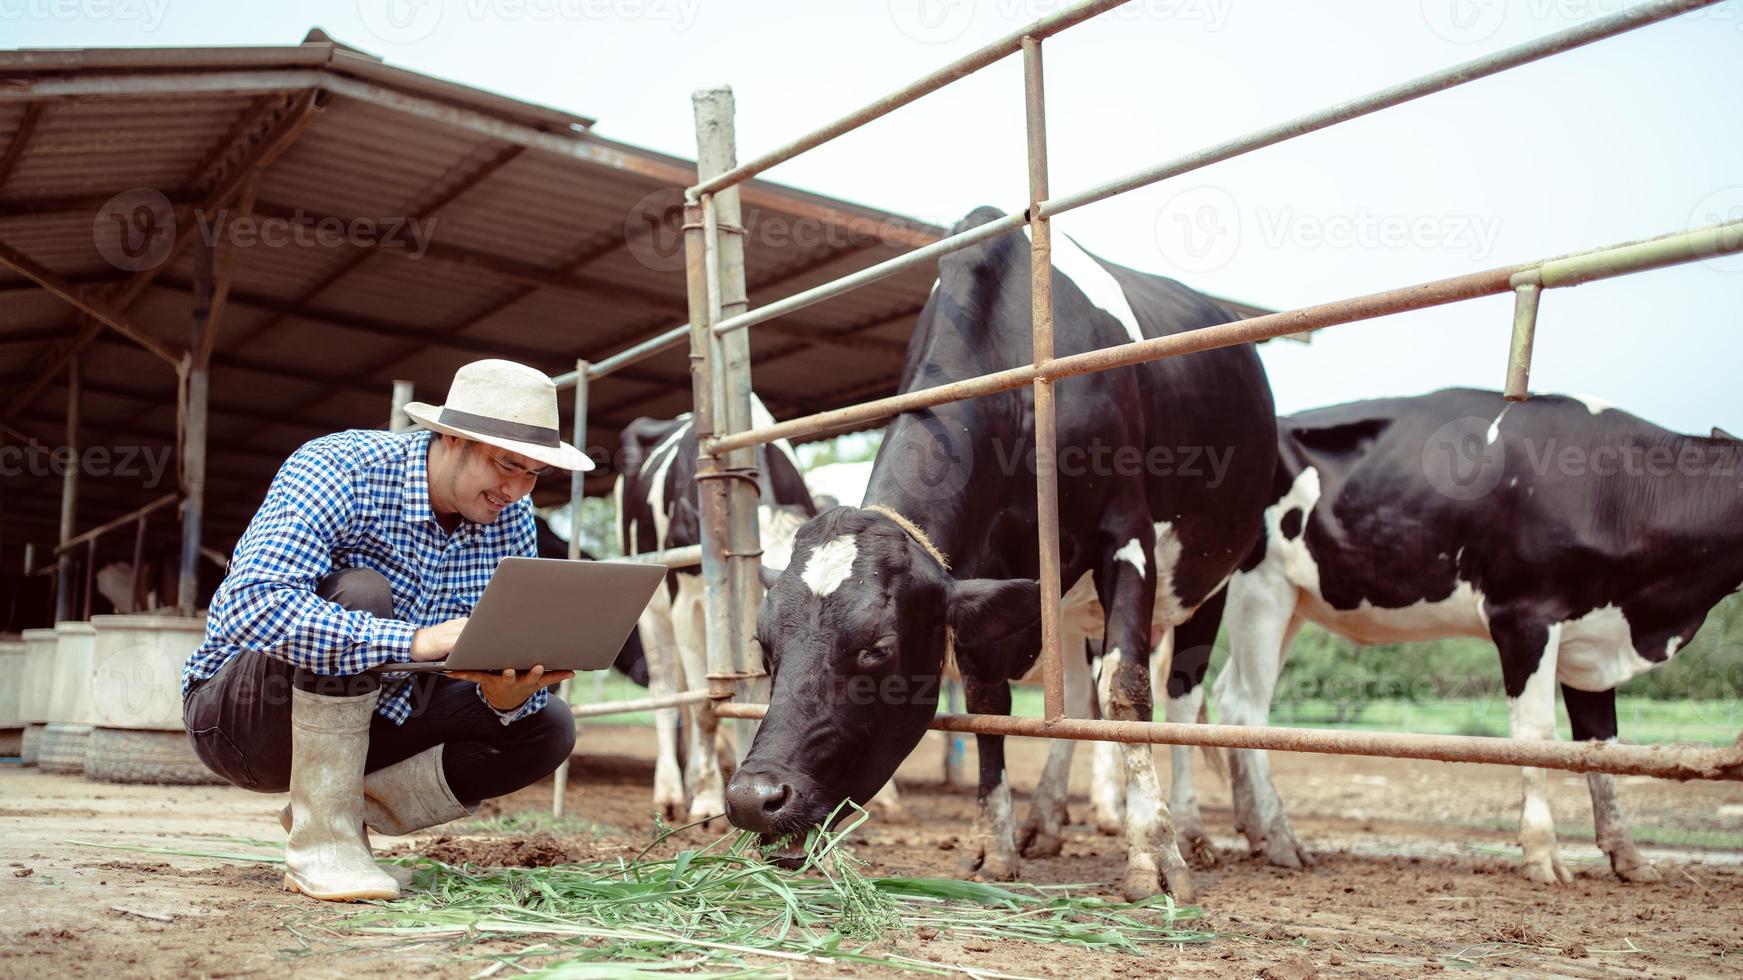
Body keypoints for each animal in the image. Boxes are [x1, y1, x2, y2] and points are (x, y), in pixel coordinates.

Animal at [617, 392, 819, 819]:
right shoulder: (688, 605)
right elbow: (705, 709)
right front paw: (708, 802)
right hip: (653, 613)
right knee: (667, 694)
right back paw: (671, 794)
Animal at [721, 207, 1282, 899]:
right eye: (764, 649)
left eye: (877, 649)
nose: (752, 798)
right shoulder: (980, 580)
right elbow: (991, 705)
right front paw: (996, 844)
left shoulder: (1126, 535)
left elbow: (1128, 691)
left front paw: (1154, 854)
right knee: (1077, 696)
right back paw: (1047, 820)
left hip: (1212, 576)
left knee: (1179, 694)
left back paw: (1199, 831)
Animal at [1192, 385, 1743, 882]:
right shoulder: (1523, 616)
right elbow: (1536, 736)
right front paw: (1542, 854)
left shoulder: (1594, 639)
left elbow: (1600, 745)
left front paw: (1628, 856)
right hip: (1261, 589)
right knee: (1247, 706)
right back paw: (1282, 839)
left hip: (1295, 603)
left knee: (1228, 694)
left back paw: (1256, 831)